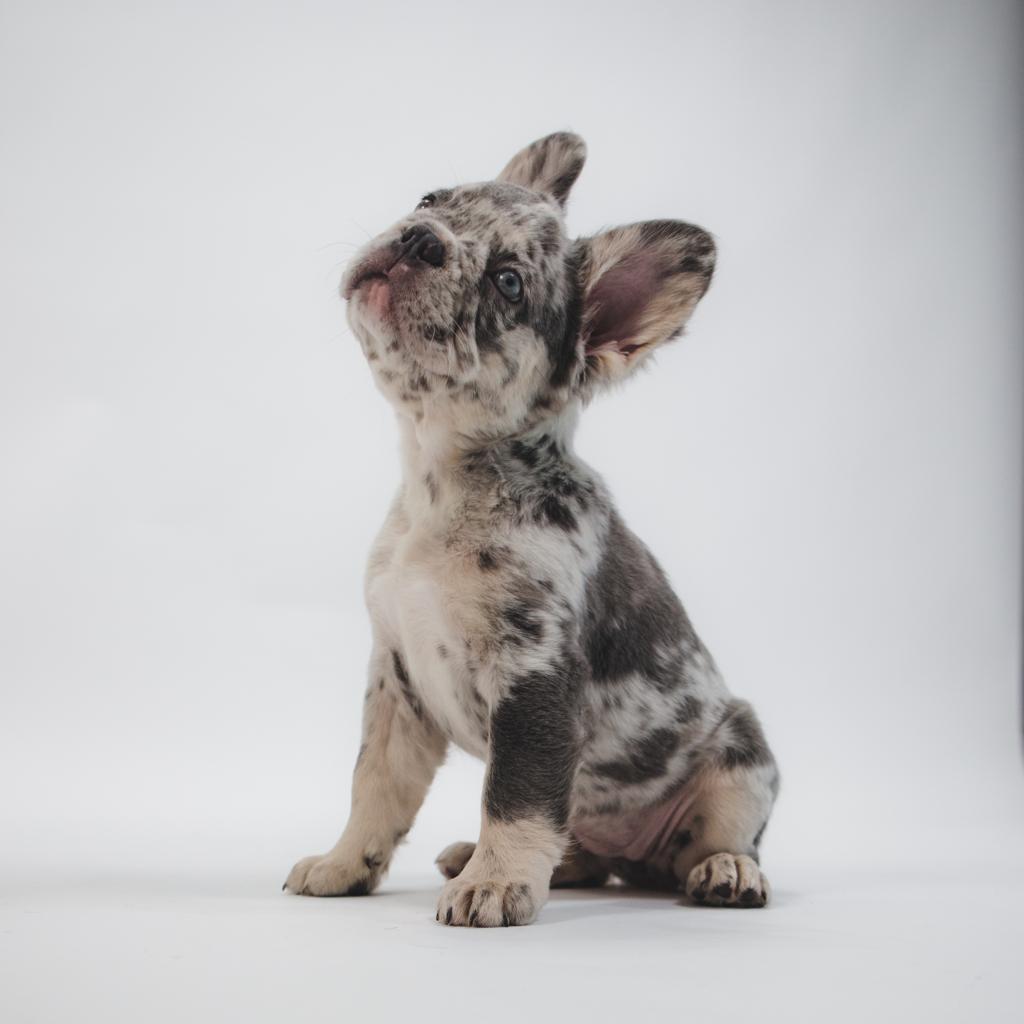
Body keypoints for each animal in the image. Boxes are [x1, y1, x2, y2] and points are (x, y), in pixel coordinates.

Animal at [284, 132, 779, 925]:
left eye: (509, 283)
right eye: (430, 199)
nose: (421, 237)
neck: (440, 480)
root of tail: (634, 862)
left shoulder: (534, 676)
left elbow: (516, 798)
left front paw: (494, 883)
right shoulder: (396, 684)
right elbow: (374, 787)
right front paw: (345, 863)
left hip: (742, 756)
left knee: (721, 837)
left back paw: (726, 870)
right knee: (581, 845)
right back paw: (518, 858)